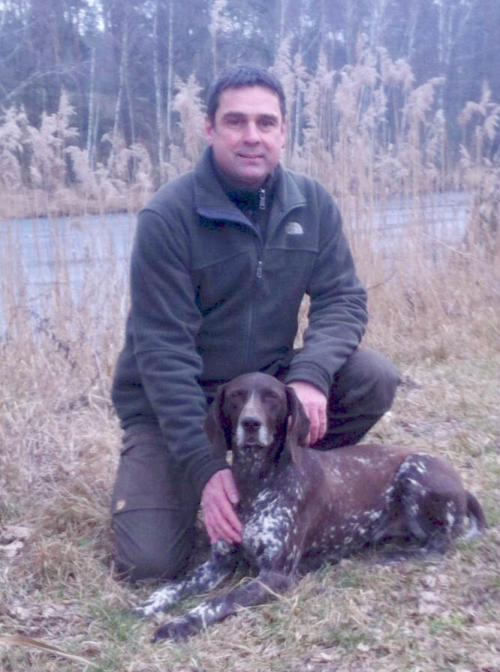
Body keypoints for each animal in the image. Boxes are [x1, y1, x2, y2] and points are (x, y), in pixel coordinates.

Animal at [135, 372, 486, 641]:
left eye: (272, 398)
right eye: (236, 396)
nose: (251, 423)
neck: (255, 482)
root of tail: (462, 485)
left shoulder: (276, 575)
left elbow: (219, 601)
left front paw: (180, 623)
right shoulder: (218, 563)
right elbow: (177, 586)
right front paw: (151, 603)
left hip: (414, 470)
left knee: (439, 544)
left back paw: (394, 556)